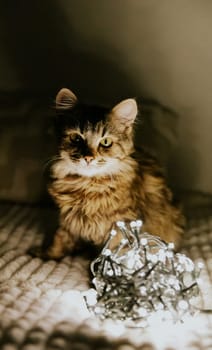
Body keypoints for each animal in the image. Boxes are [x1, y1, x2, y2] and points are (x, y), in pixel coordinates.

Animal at [44, 88, 184, 260]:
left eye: (106, 142)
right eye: (76, 138)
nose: (88, 158)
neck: (87, 187)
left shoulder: (122, 227)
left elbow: (116, 253)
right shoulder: (68, 220)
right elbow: (60, 239)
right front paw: (48, 257)